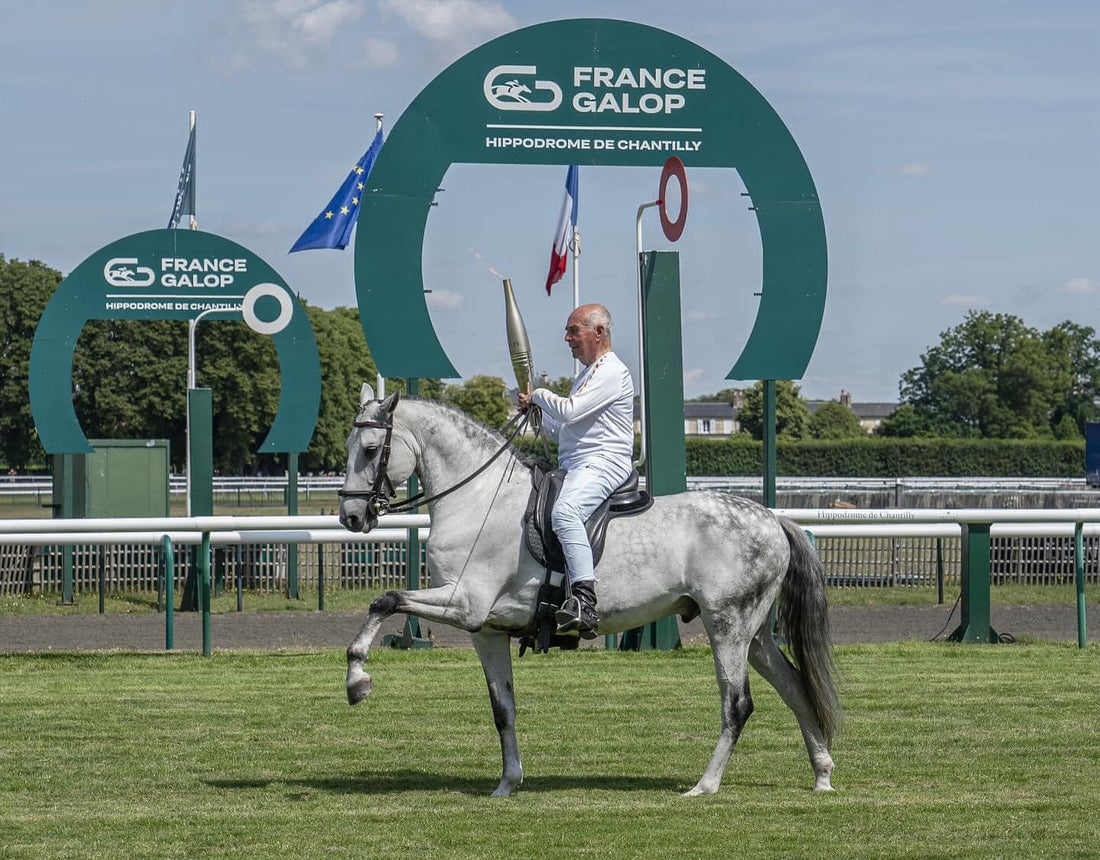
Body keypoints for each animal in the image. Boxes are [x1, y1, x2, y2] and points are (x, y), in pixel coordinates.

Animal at [338, 387, 836, 796]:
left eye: (370, 449)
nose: (350, 517)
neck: (478, 500)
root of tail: (772, 518)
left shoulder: (463, 604)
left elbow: (385, 600)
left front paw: (357, 680)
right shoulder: (486, 630)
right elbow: (503, 709)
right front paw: (508, 783)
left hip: (727, 627)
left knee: (737, 704)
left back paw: (705, 785)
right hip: (755, 635)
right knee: (795, 687)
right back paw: (822, 773)